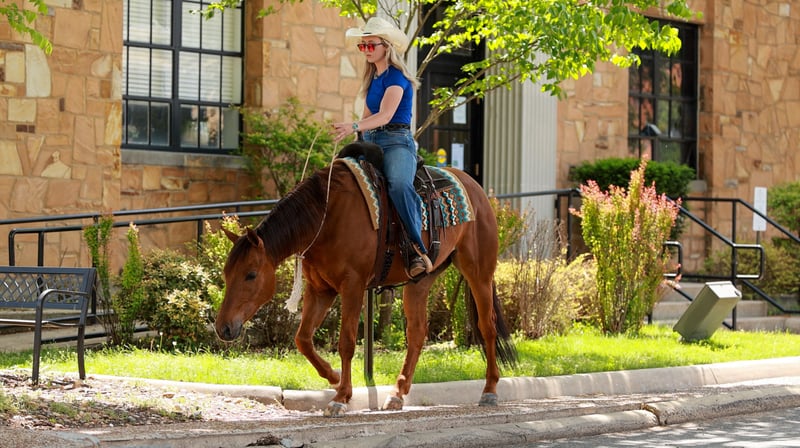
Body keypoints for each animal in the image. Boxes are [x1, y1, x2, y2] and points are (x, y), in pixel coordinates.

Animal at [215, 143, 516, 417]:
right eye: (226, 273)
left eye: (250, 274)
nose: (223, 328)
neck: (326, 215)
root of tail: (474, 188)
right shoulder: (320, 289)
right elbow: (303, 339)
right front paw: (334, 377)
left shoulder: (353, 286)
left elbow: (346, 342)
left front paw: (340, 397)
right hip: (420, 282)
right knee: (417, 332)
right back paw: (397, 394)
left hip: (479, 272)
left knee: (487, 326)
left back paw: (490, 390)